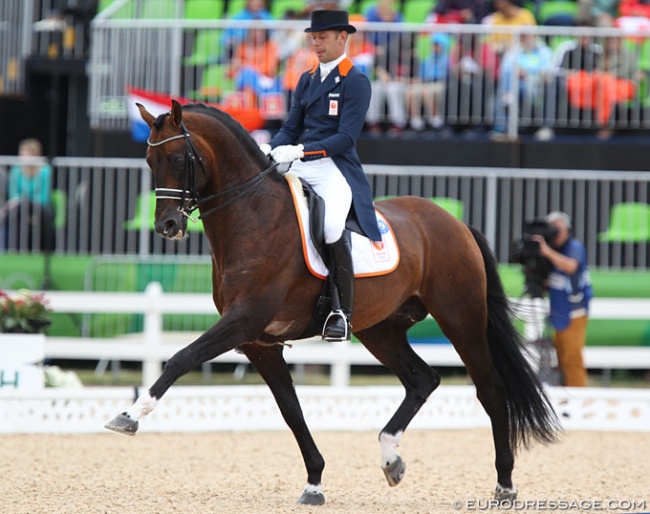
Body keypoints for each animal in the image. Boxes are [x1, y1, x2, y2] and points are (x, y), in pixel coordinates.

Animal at [106, 100, 556, 504]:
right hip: (381, 330)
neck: (253, 216)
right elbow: (291, 410)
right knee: (422, 380)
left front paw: (129, 415)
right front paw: (314, 483)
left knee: (490, 388)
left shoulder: (244, 321)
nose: (166, 226)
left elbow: (181, 358)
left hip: (460, 317)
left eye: (178, 157)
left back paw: (504, 484)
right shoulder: (259, 342)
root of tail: (455, 222)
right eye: (149, 160)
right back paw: (391, 458)